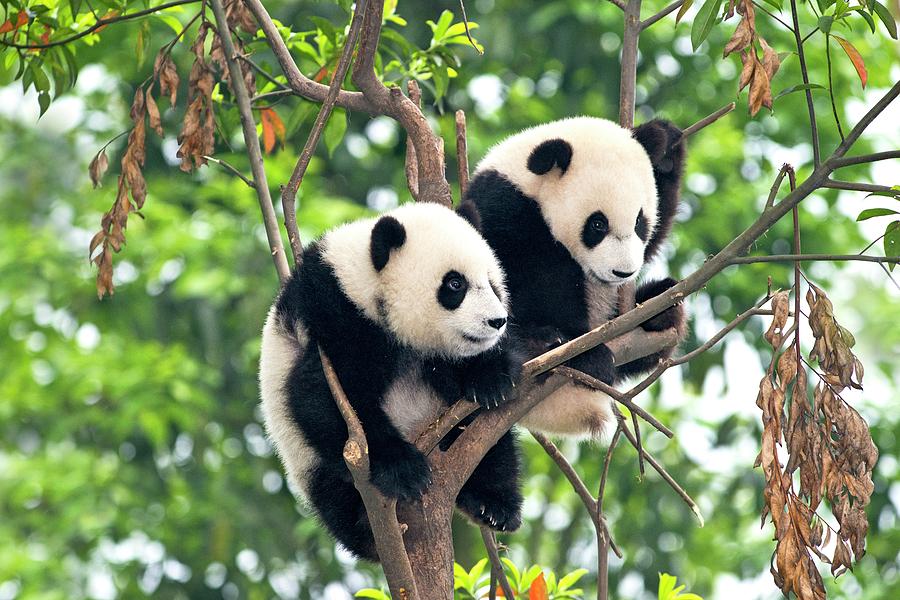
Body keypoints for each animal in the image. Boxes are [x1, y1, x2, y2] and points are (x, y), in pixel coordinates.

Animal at [464, 116, 688, 436]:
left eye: (639, 221)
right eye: (597, 224)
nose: (623, 272)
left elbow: (655, 235)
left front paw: (665, 145)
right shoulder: (505, 208)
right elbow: (526, 283)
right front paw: (579, 349)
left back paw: (660, 311)